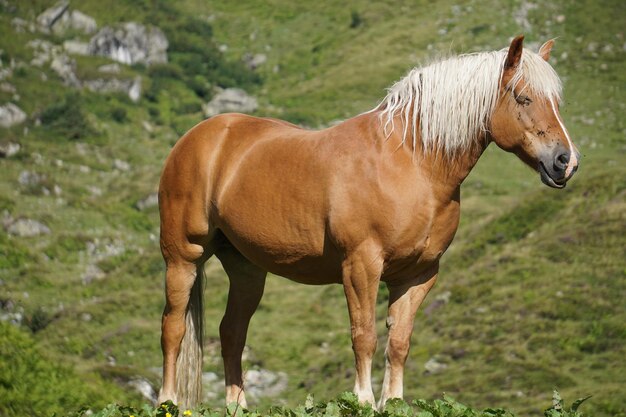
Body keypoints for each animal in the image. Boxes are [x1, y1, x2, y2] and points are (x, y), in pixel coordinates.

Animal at [156, 35, 576, 406]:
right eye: (523, 97)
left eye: (556, 101)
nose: (565, 161)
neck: (412, 163)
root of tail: (199, 137)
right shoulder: (361, 266)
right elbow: (365, 336)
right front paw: (362, 399)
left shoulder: (418, 275)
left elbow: (400, 342)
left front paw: (392, 401)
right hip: (183, 257)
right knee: (173, 328)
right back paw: (168, 399)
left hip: (246, 268)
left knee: (232, 333)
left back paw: (237, 405)